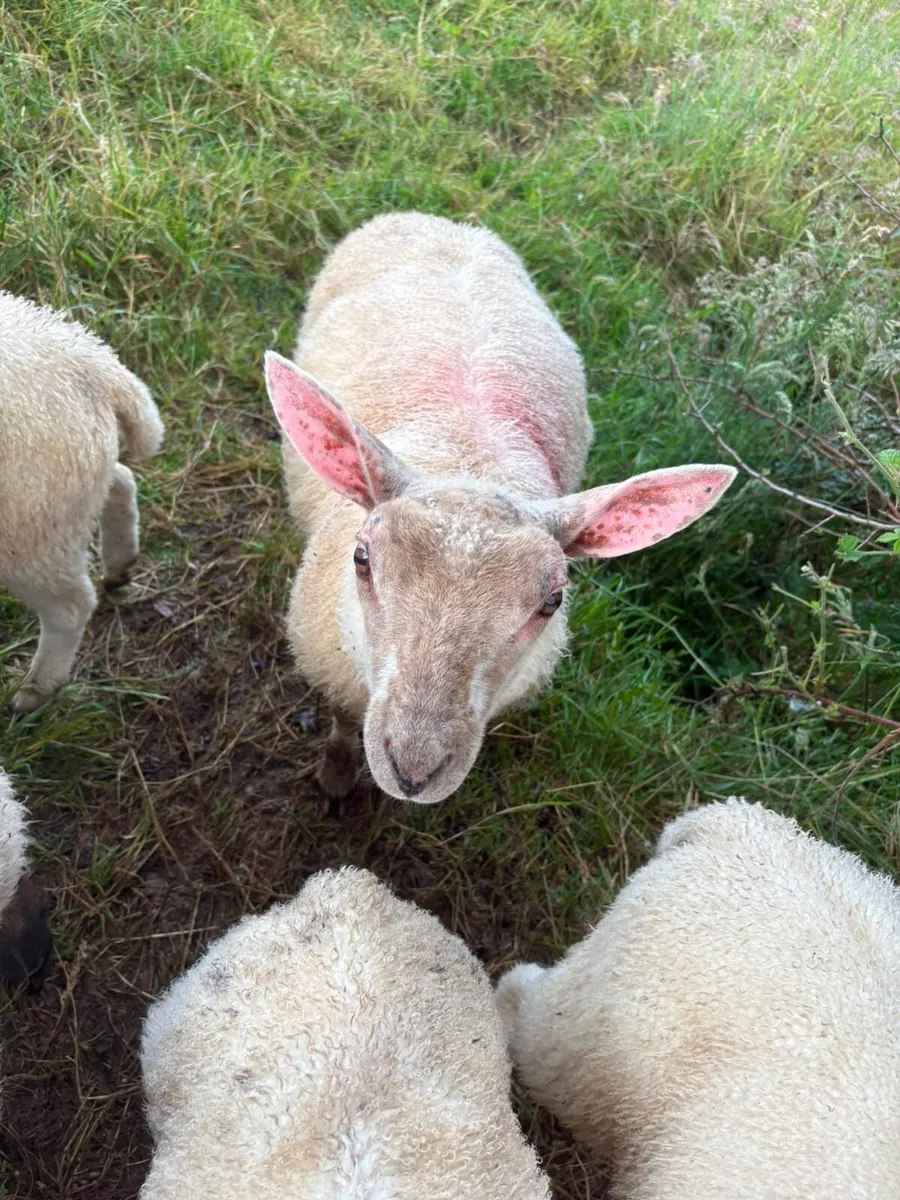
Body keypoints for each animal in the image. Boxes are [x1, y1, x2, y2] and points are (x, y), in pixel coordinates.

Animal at [0, 291, 163, 711]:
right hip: (71, 486)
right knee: (120, 481)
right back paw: (121, 564)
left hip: (28, 527)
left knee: (69, 608)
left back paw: (34, 692)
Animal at [265, 212, 737, 803]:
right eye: (362, 559)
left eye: (553, 601)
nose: (414, 771)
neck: (471, 460)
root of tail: (442, 222)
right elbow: (343, 725)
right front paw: (334, 781)